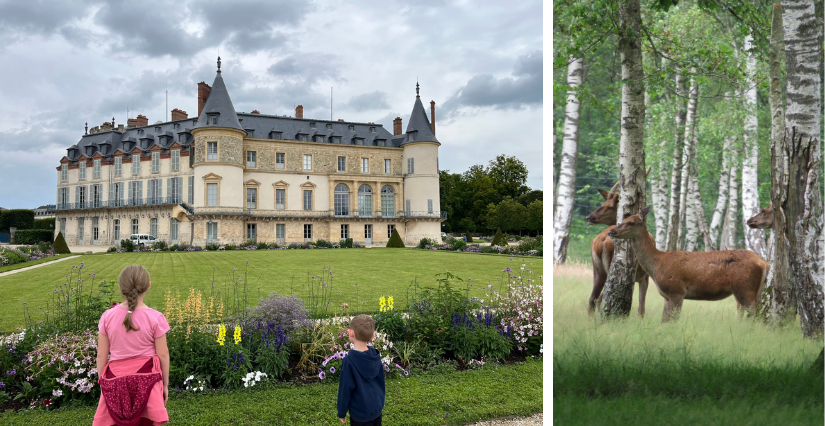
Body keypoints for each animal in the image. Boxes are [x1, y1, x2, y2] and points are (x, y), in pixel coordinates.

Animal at [584, 168, 652, 318]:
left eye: (609, 206)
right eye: (602, 205)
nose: (588, 217)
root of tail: (600, 242)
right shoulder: (645, 276)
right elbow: (641, 307)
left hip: (597, 269)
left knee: (592, 299)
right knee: (601, 299)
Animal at [604, 206, 768, 322]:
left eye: (631, 222)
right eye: (622, 220)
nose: (611, 232)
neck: (657, 265)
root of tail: (764, 264)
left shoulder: (676, 290)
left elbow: (673, 321)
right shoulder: (667, 296)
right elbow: (664, 321)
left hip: (745, 287)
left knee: (754, 314)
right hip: (754, 290)